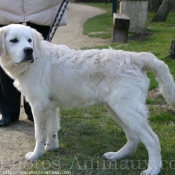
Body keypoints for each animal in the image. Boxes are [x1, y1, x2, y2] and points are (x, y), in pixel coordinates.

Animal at [0, 23, 175, 175]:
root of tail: (136, 57)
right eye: (14, 40)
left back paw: (153, 169)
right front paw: (51, 148)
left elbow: (40, 134)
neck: (33, 61)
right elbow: (52, 131)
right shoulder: (50, 106)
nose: (29, 50)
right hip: (117, 109)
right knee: (134, 138)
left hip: (126, 109)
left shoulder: (39, 106)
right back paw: (117, 155)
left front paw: (36, 155)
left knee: (152, 139)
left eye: (29, 40)